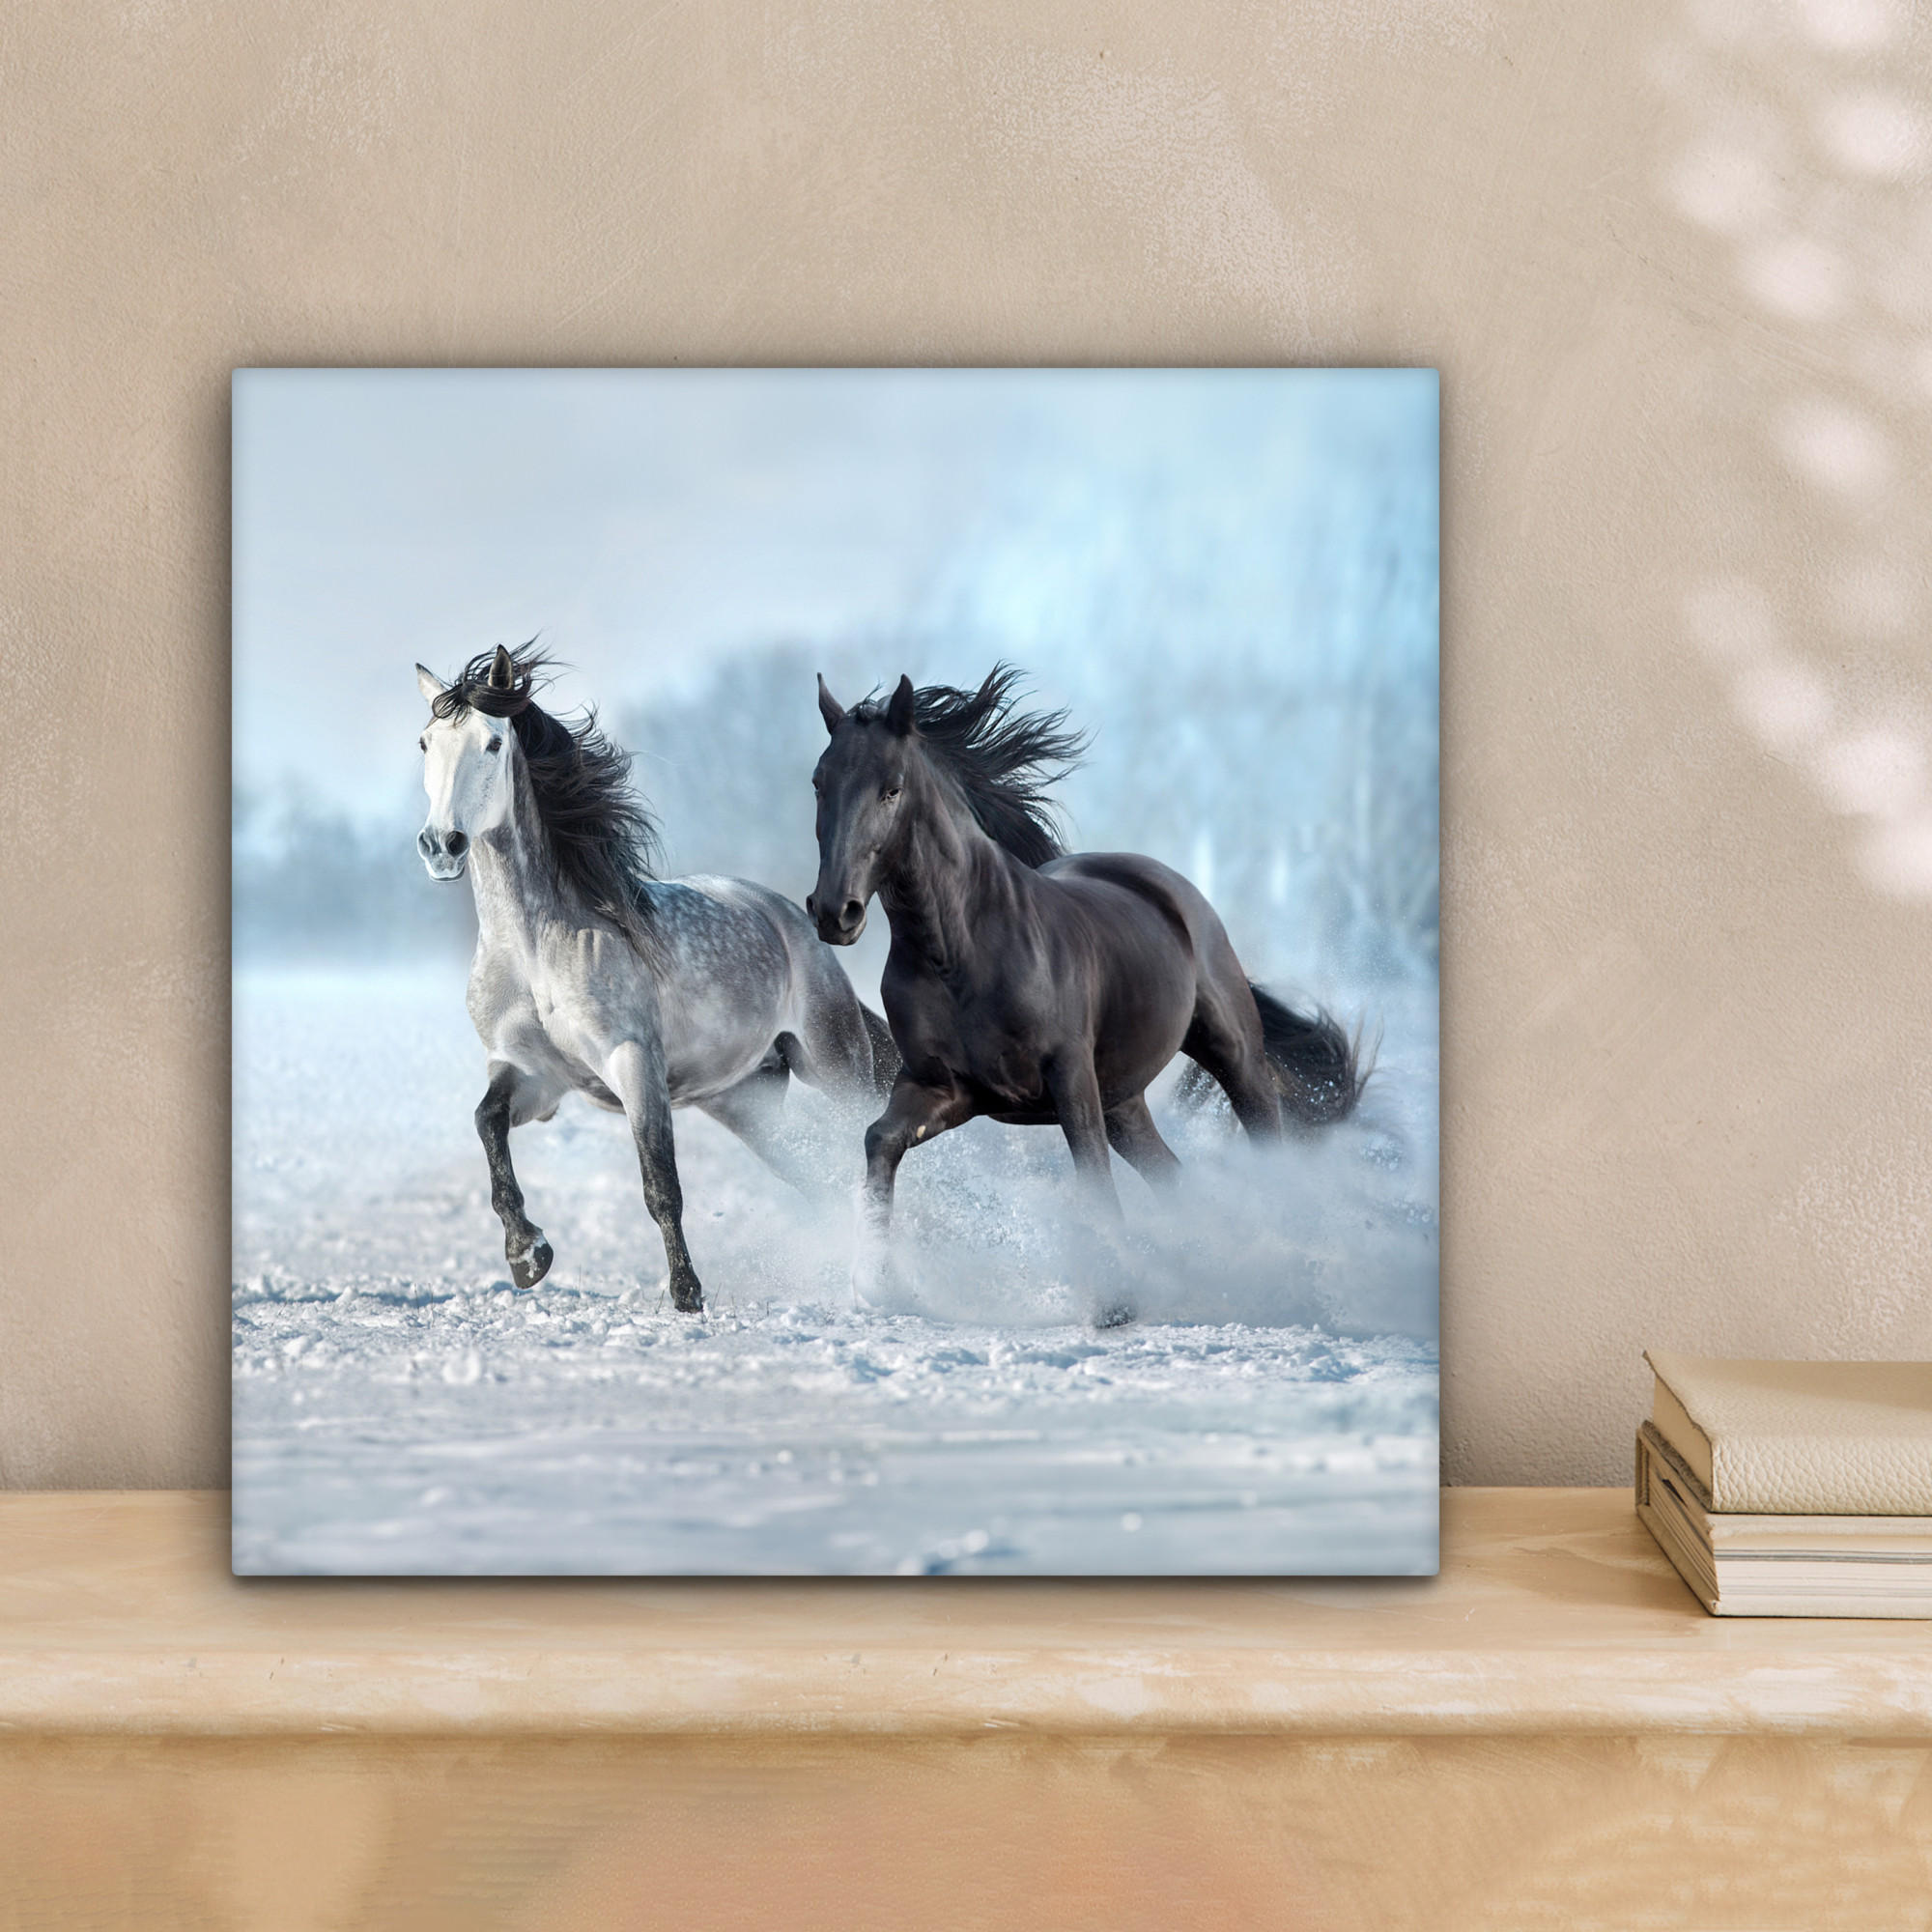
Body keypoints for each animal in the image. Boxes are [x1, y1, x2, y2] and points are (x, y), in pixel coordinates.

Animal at [415, 644, 895, 1314]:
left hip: (835, 1064)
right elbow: (487, 1123)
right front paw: (527, 1255)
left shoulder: (634, 1062)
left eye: (492, 742)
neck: (535, 950)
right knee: (817, 1176)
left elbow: (660, 1183)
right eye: (425, 742)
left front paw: (687, 1295)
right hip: (745, 1101)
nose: (442, 845)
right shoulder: (533, 1075)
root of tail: (791, 919)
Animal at [805, 665, 1363, 1314]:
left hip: (1232, 1054)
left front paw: (1116, 1302)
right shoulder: (944, 1088)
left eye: (891, 790)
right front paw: (878, 1282)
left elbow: (1092, 1177)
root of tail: (1171, 888)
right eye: (819, 783)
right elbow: (880, 1140)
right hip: (1124, 1101)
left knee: (1265, 1138)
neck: (961, 953)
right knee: (1174, 1178)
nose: (834, 912)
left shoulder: (1069, 1078)